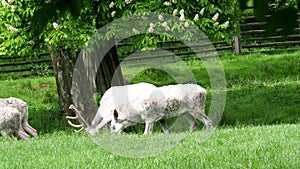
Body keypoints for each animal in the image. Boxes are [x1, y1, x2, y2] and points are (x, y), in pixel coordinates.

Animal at [67, 82, 213, 135]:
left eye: (90, 134)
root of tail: (204, 90)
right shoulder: (160, 118)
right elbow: (166, 131)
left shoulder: (150, 118)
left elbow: (146, 133)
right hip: (186, 112)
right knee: (194, 124)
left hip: (196, 108)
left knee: (208, 122)